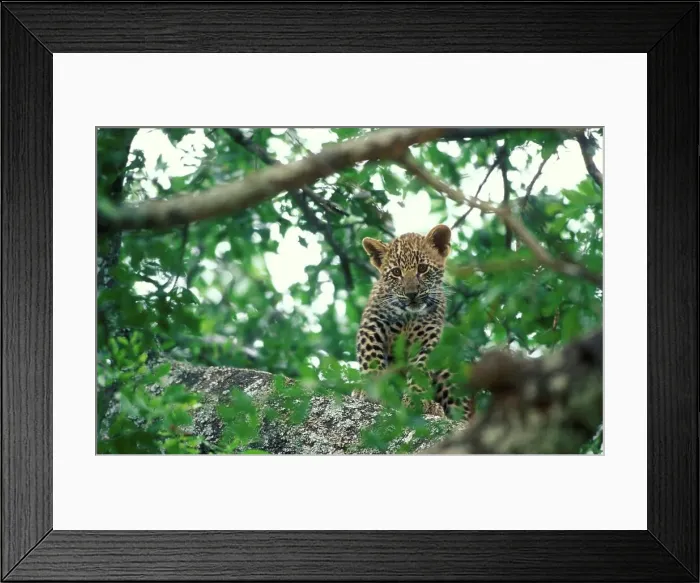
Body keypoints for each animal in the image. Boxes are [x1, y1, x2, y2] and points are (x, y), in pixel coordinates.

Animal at [353, 224, 474, 420]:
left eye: (423, 268)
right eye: (396, 272)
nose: (411, 294)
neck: (408, 315)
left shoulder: (428, 336)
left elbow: (420, 367)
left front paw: (419, 400)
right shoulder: (373, 324)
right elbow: (371, 358)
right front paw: (372, 391)